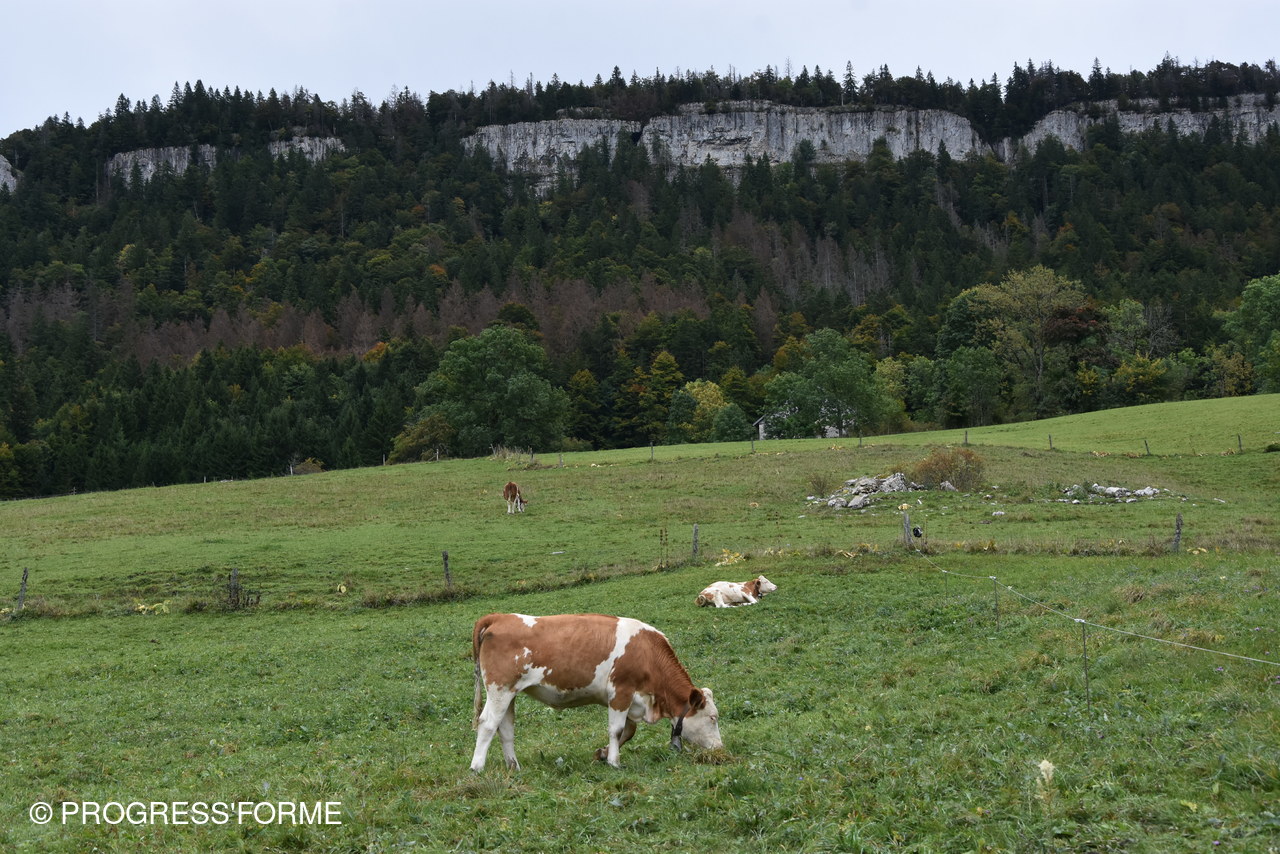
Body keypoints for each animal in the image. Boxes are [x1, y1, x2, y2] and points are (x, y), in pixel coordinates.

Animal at [470, 613, 723, 770]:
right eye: (712, 718)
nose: (720, 749)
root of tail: (499, 617)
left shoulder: (628, 700)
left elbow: (628, 731)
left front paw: (602, 753)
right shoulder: (621, 691)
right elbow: (616, 730)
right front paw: (614, 762)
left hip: (508, 694)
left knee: (505, 729)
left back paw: (514, 766)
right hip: (500, 690)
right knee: (487, 724)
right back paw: (477, 767)